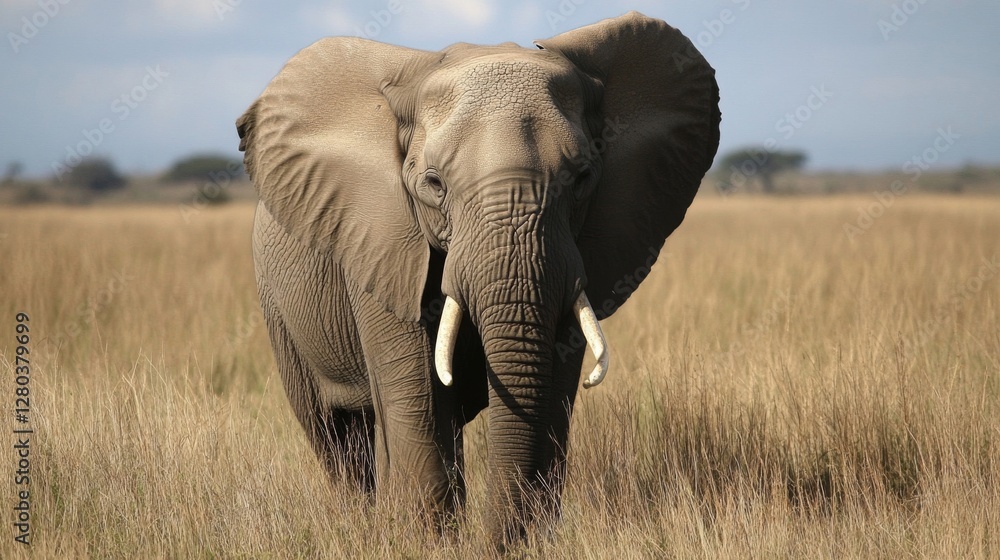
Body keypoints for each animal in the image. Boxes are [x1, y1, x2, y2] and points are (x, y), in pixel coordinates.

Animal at [237, 11, 719, 546]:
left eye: (582, 178)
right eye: (434, 184)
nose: (496, 544)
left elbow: (553, 394)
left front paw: (531, 541)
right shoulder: (379, 243)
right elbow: (421, 398)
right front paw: (425, 543)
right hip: (278, 308)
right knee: (336, 436)